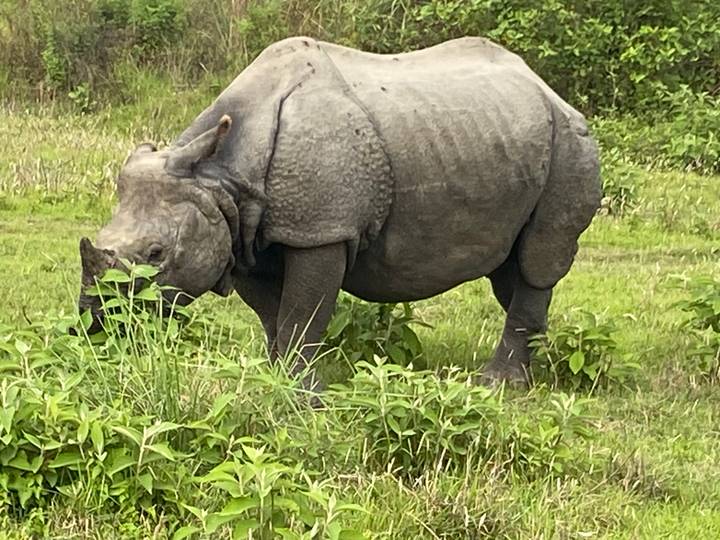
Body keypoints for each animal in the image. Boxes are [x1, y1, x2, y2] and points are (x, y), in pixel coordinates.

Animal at [78, 36, 601, 388]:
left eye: (156, 253)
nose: (94, 323)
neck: (217, 174)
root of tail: (548, 89)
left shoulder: (322, 230)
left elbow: (302, 315)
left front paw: (301, 396)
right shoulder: (243, 234)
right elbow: (274, 317)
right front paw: (276, 381)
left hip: (571, 141)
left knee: (537, 260)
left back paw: (497, 385)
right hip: (506, 135)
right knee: (510, 269)